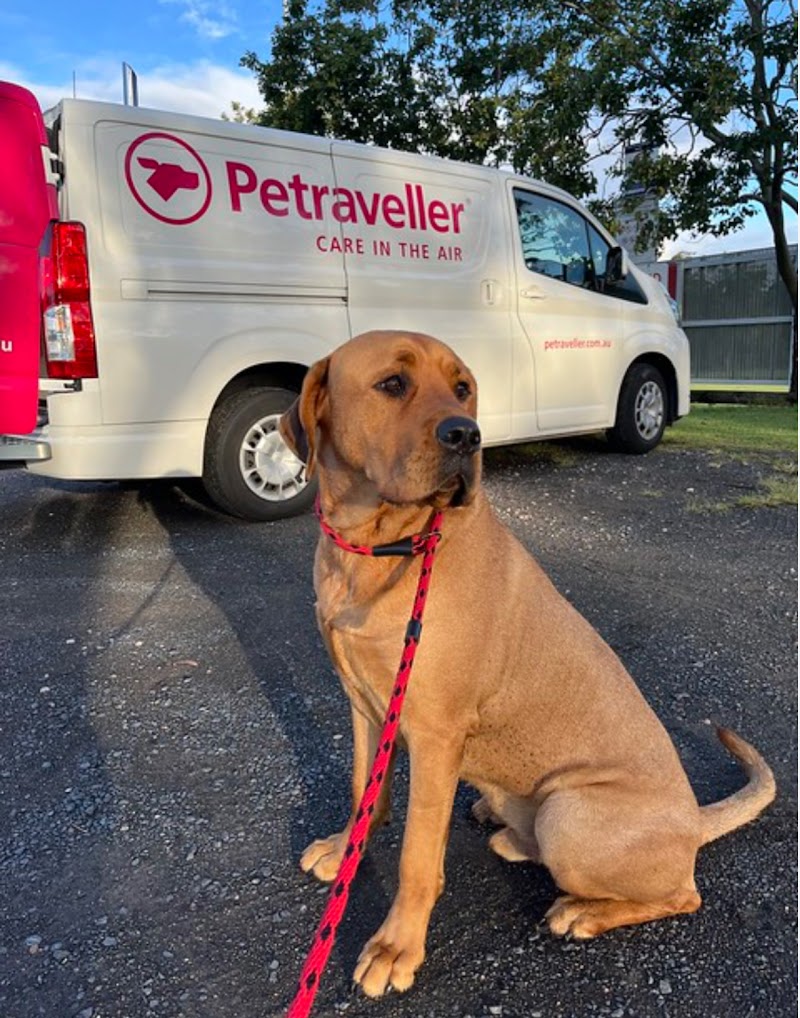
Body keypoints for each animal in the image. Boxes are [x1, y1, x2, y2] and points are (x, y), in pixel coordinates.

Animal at [279, 330, 775, 999]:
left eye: (463, 388)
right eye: (392, 384)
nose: (467, 436)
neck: (378, 545)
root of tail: (694, 822)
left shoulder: (434, 735)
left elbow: (417, 859)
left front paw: (396, 947)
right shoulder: (365, 706)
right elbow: (365, 793)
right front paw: (344, 851)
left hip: (570, 815)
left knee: (683, 894)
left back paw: (582, 912)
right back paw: (508, 829)